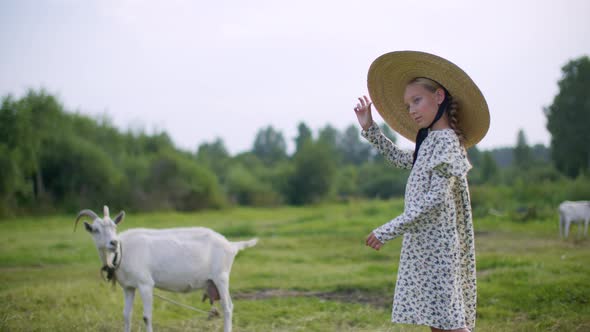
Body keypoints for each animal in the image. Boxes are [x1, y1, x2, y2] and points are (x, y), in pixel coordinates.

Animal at [74, 205, 260, 332]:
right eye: (95, 230)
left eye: (114, 227)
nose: (113, 243)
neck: (123, 250)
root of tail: (231, 245)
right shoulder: (128, 287)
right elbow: (126, 315)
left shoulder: (145, 284)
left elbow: (147, 316)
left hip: (221, 277)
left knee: (228, 308)